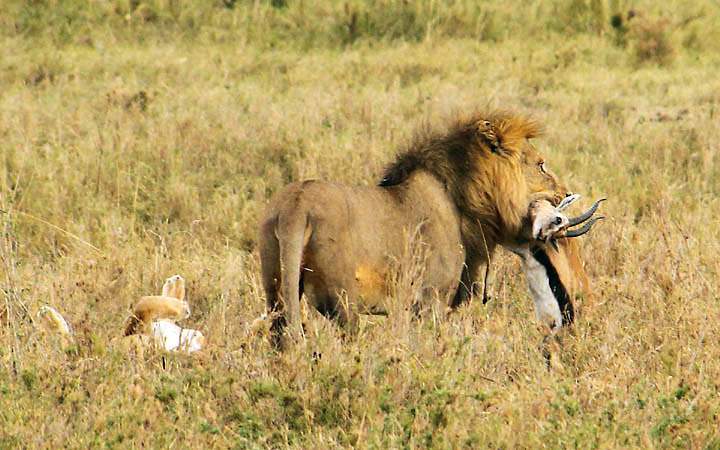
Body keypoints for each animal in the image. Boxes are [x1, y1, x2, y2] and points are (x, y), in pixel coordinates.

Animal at [258, 110, 580, 348]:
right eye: (541, 165)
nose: (565, 194)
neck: (464, 198)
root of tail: (296, 205)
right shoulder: (431, 299)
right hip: (343, 301)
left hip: (276, 292)